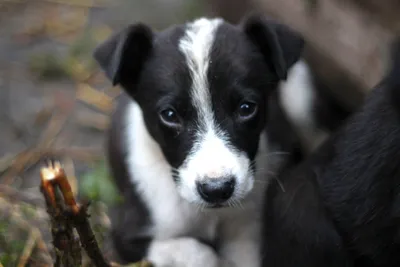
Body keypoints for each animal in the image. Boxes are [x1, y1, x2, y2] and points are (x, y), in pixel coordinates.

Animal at [94, 15, 304, 267]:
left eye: (246, 108)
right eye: (169, 115)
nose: (216, 189)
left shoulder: (249, 224)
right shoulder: (127, 236)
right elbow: (200, 252)